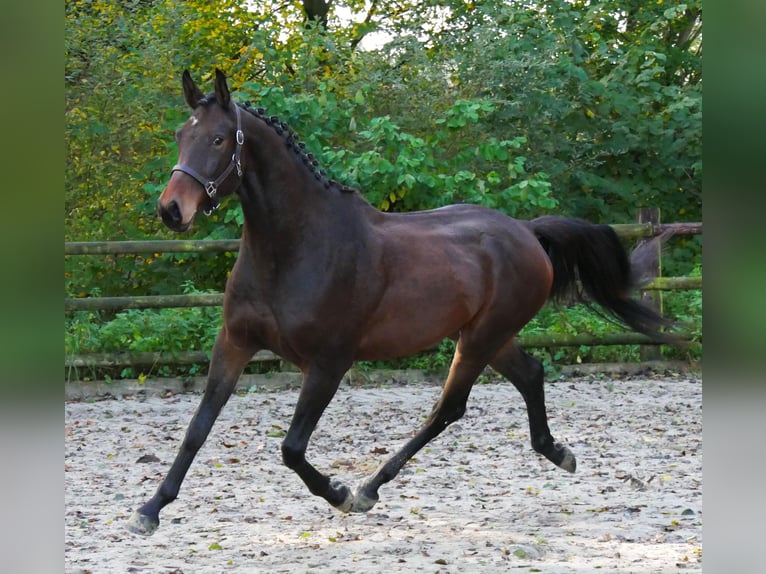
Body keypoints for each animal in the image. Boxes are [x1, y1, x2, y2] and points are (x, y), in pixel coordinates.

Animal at [127, 70, 680, 536]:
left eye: (219, 138)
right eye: (180, 135)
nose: (171, 210)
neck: (295, 248)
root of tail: (527, 232)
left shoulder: (328, 363)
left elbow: (291, 448)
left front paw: (339, 493)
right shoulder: (235, 343)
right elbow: (197, 428)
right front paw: (150, 509)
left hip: (480, 339)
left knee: (449, 407)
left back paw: (369, 487)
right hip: (488, 336)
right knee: (530, 374)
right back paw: (556, 452)